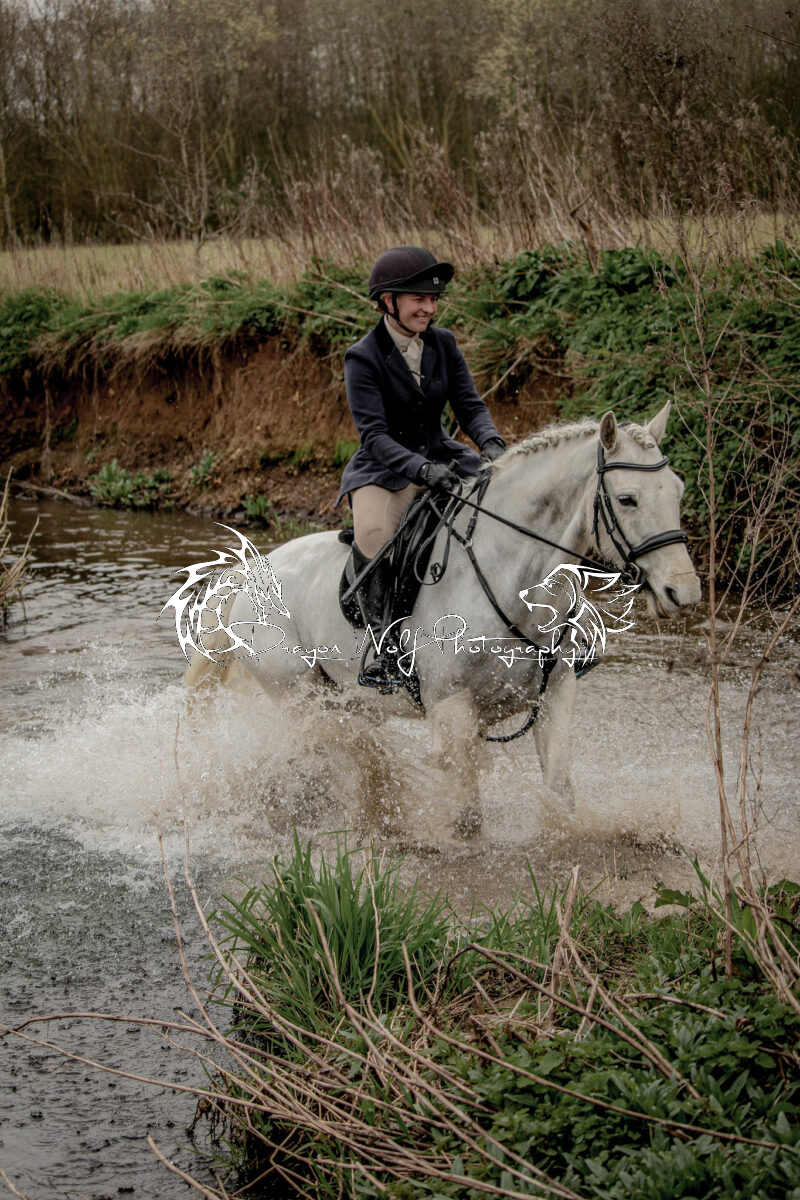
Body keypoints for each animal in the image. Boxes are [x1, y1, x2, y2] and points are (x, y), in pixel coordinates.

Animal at [183, 402, 701, 839]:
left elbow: (559, 794)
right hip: (299, 694)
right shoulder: (452, 709)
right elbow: (468, 817)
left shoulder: (554, 694)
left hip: (343, 701)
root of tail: (251, 572)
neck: (511, 576)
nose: (685, 593)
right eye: (628, 499)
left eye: (677, 491)